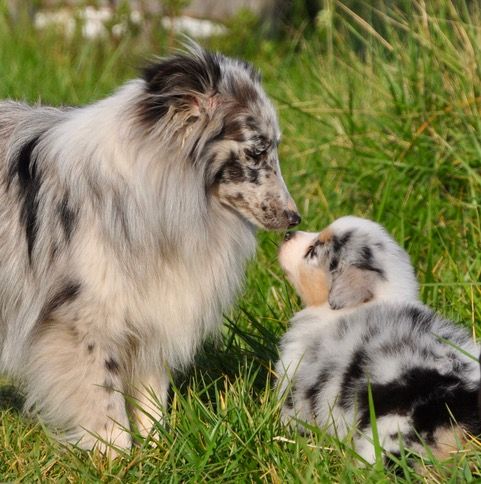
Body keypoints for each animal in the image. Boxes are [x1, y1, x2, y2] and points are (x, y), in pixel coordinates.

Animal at [0, 43, 300, 456]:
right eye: (256, 152)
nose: (294, 217)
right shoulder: (83, 320)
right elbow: (105, 396)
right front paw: (116, 455)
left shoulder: (155, 306)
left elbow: (151, 392)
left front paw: (160, 449)